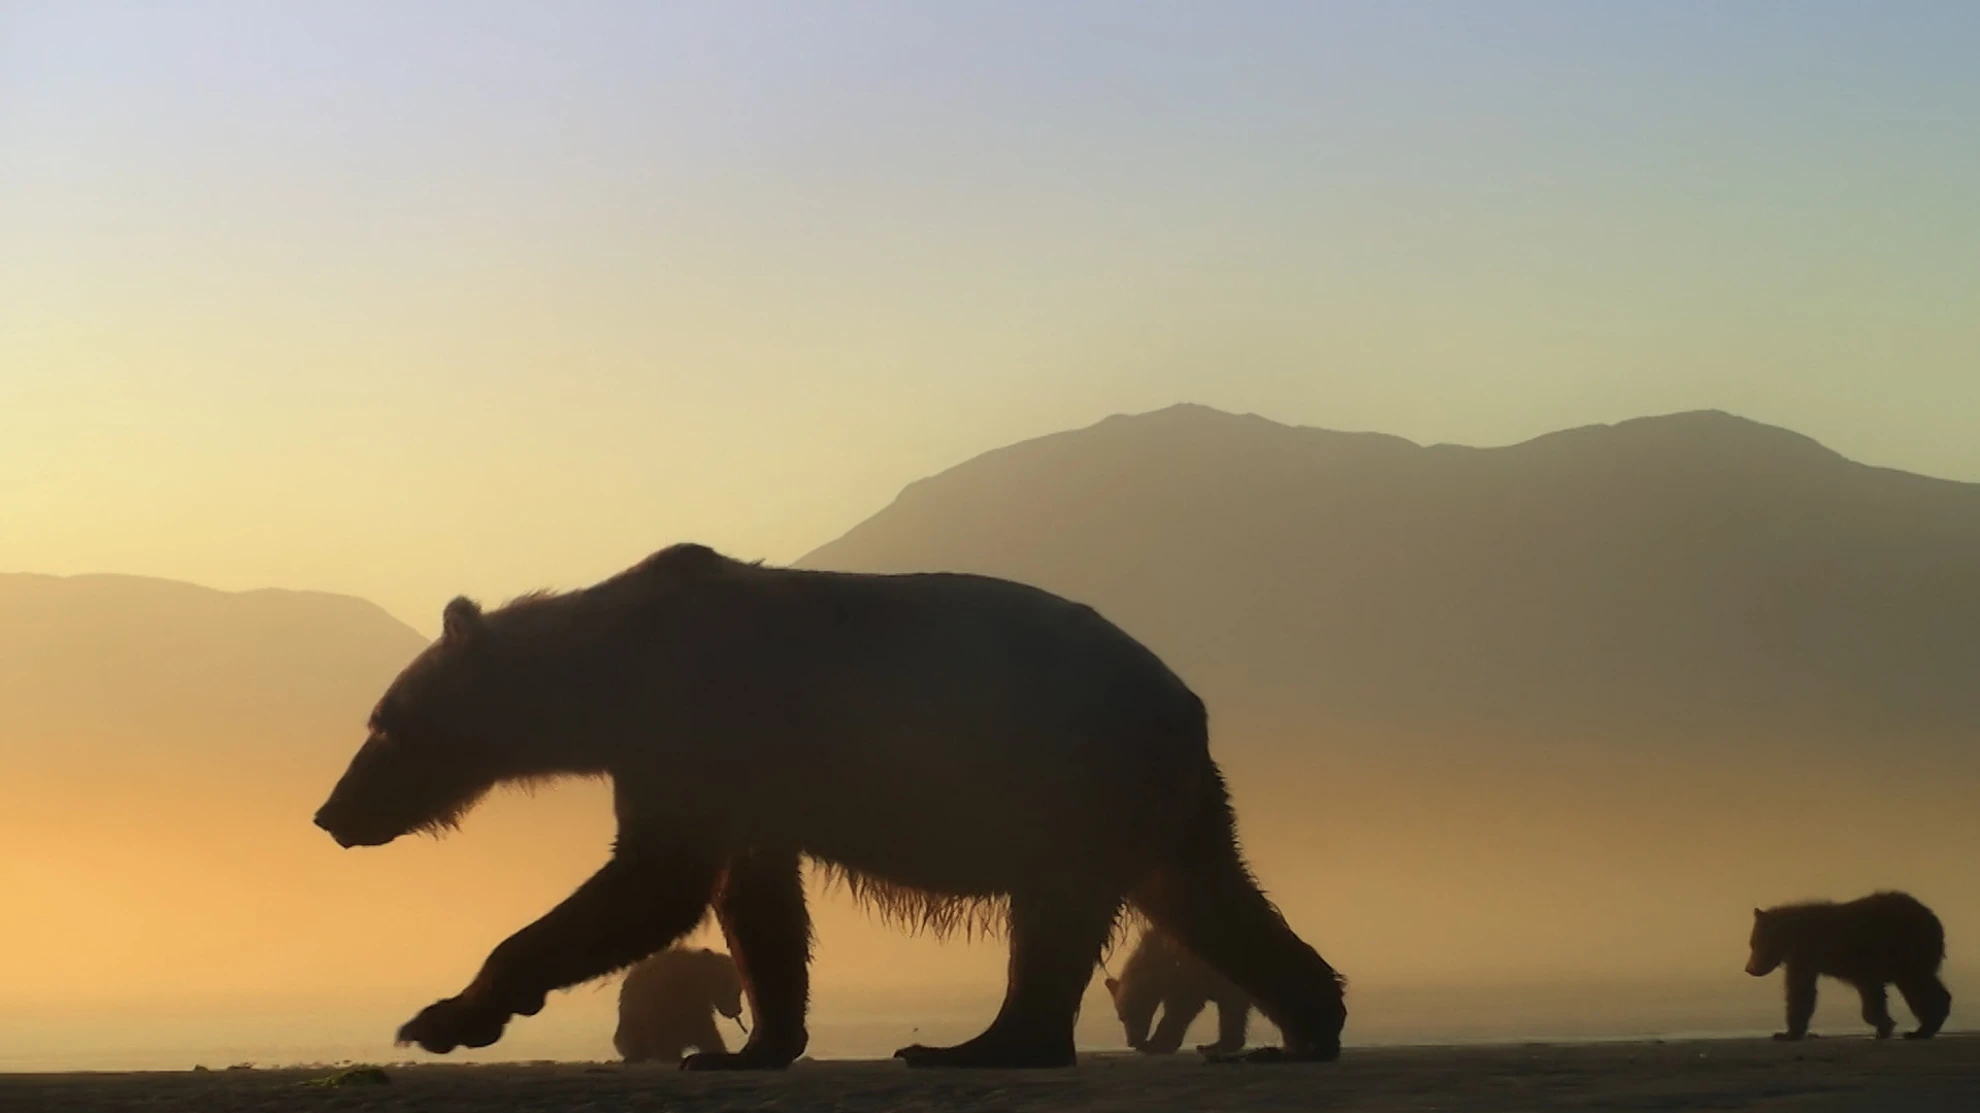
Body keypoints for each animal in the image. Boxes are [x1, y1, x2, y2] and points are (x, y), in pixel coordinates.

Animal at [1104, 927, 1254, 1055]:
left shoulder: (1193, 971)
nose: (1131, 1041)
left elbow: (1182, 1006)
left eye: (1133, 1011)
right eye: (1121, 1017)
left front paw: (1155, 1044)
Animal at [1746, 890, 1950, 1041]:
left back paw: (1922, 1029)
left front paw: (1786, 1034)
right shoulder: (1812, 961)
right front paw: (1884, 1025)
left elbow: (1800, 991)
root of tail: (1933, 919)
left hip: (1908, 950)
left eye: (1755, 944)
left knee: (1918, 986)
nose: (1749, 969)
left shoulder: (1810, 957)